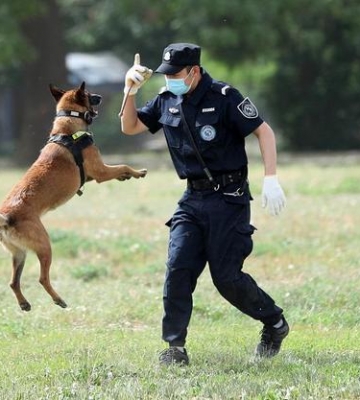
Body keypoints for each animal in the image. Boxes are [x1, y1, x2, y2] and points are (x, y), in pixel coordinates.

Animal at [0, 82, 148, 312]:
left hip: (19, 254)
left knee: (13, 282)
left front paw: (126, 176)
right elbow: (122, 165)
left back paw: (24, 302)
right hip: (45, 245)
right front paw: (136, 172)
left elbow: (119, 170)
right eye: (88, 94)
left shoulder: (92, 175)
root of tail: (5, 217)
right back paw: (58, 299)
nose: (100, 96)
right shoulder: (100, 172)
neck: (67, 128)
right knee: (42, 278)